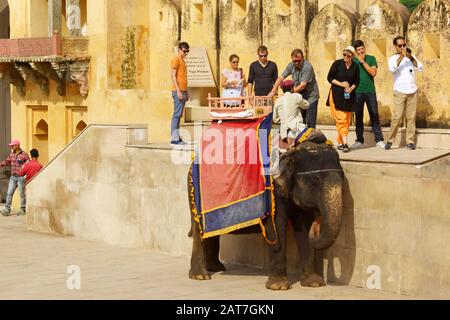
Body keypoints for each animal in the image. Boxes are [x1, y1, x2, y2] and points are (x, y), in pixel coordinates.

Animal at [186, 140, 344, 290]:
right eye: (315, 180)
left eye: (343, 180)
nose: (317, 224)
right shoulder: (273, 191)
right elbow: (277, 225)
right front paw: (278, 287)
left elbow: (304, 227)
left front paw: (314, 284)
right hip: (194, 194)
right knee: (199, 232)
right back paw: (200, 276)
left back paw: (216, 268)